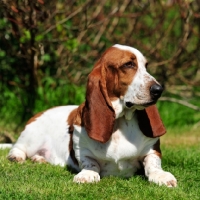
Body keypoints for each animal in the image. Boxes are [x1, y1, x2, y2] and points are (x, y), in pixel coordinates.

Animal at [7, 44, 177, 187]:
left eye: (146, 66)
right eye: (128, 65)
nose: (158, 89)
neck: (120, 121)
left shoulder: (152, 150)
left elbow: (153, 164)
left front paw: (162, 176)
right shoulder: (83, 151)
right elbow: (90, 163)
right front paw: (87, 175)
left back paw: (39, 158)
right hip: (30, 137)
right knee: (17, 147)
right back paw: (16, 157)